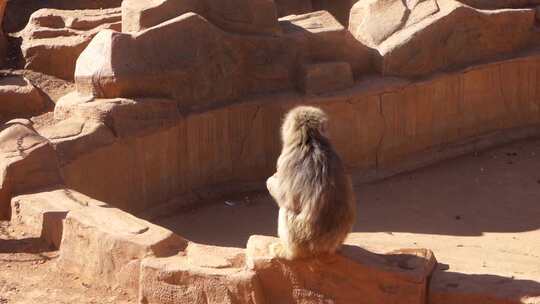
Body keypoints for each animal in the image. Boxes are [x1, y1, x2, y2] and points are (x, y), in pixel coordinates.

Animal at [266, 105, 358, 258]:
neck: (311, 141)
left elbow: (284, 197)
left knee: (286, 210)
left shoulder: (285, 159)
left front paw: (271, 180)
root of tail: (322, 246)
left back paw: (288, 252)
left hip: (299, 239)